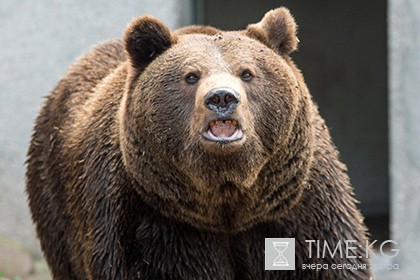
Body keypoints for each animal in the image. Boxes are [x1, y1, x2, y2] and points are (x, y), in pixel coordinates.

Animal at [25, 6, 370, 280]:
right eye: (191, 76)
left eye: (247, 73)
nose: (221, 98)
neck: (228, 201)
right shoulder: (149, 223)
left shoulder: (299, 205)